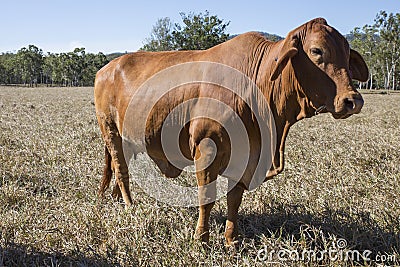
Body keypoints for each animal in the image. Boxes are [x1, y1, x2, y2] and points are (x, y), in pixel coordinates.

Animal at [94, 17, 368, 247]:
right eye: (316, 51)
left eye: (346, 54)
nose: (353, 100)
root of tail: (107, 68)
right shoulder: (206, 149)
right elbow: (207, 196)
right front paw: (202, 240)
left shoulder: (247, 156)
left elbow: (234, 200)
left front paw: (231, 240)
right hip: (110, 131)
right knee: (121, 169)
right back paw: (129, 206)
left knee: (118, 167)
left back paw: (117, 200)